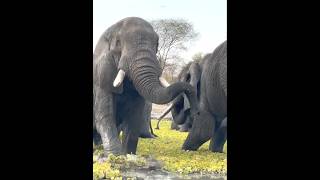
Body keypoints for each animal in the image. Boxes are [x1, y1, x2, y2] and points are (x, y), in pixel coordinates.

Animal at [91, 16, 199, 155]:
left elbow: (134, 118)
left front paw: (128, 154)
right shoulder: (101, 75)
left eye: (157, 45)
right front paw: (116, 155)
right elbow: (105, 116)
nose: (195, 112)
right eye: (119, 43)